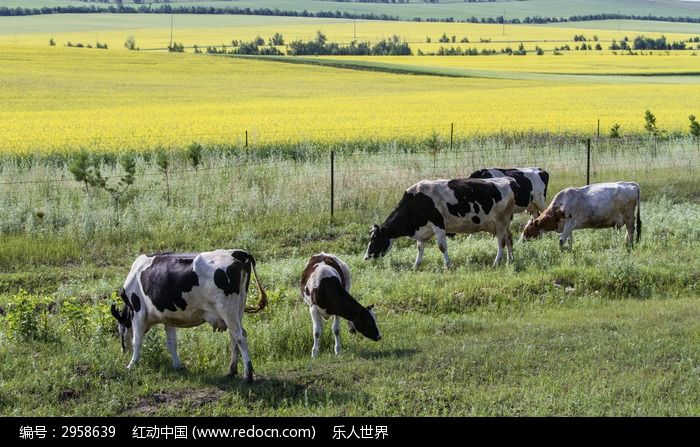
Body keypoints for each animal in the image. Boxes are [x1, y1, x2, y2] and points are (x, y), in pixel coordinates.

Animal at [110, 250, 266, 384]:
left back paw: (248, 376)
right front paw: (177, 366)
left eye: (120, 330)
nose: (123, 351)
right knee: (234, 338)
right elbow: (172, 343)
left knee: (240, 337)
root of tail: (239, 253)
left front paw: (131, 364)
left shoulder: (138, 312)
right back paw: (231, 372)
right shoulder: (168, 317)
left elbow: (137, 341)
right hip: (238, 309)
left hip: (227, 309)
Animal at [364, 178, 516, 270]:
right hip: (498, 225)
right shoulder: (423, 231)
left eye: (374, 239)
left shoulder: (438, 224)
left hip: (501, 221)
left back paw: (496, 262)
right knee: (509, 238)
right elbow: (420, 248)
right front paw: (416, 265)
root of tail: (507, 180)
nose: (366, 257)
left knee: (501, 242)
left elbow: (442, 247)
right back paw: (510, 261)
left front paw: (447, 265)